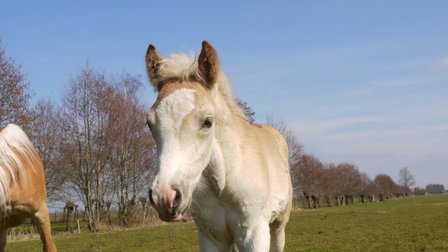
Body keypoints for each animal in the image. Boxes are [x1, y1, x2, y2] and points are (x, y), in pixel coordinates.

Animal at [147, 40, 292, 251]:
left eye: (207, 122)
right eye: (149, 123)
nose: (164, 197)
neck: (223, 184)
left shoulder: (255, 233)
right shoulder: (211, 236)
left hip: (279, 224)